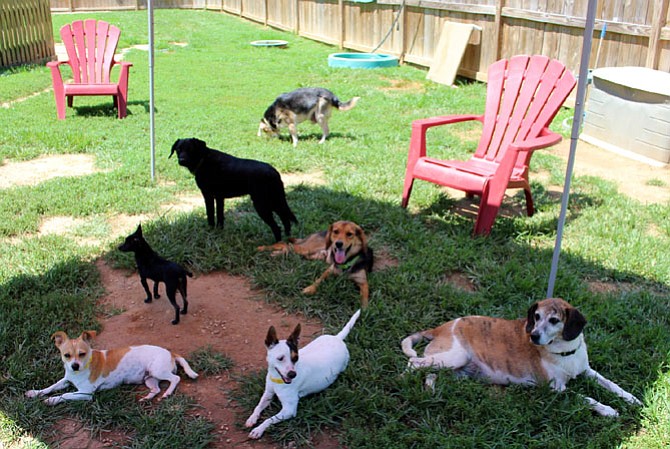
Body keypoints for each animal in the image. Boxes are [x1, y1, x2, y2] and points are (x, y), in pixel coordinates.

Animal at [171, 136, 300, 242]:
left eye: (190, 149)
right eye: (178, 149)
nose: (181, 160)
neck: (204, 160)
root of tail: (274, 172)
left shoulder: (208, 196)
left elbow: (210, 216)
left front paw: (210, 231)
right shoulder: (219, 198)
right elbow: (220, 217)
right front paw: (219, 232)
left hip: (262, 204)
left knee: (277, 227)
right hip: (275, 201)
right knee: (285, 220)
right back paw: (288, 239)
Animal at [247, 308, 362, 438]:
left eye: (295, 358)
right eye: (280, 358)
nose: (292, 374)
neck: (277, 379)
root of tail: (338, 338)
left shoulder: (289, 410)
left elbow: (269, 419)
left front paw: (258, 429)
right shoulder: (268, 393)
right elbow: (258, 406)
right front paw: (252, 418)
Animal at [402, 298, 644, 416]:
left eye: (554, 320)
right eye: (535, 316)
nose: (533, 336)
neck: (564, 352)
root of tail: (438, 328)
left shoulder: (586, 370)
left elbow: (611, 384)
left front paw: (633, 399)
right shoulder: (556, 388)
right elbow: (587, 398)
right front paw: (608, 410)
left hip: (452, 368)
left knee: (429, 373)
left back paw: (431, 391)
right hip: (454, 357)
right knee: (414, 362)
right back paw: (404, 379)